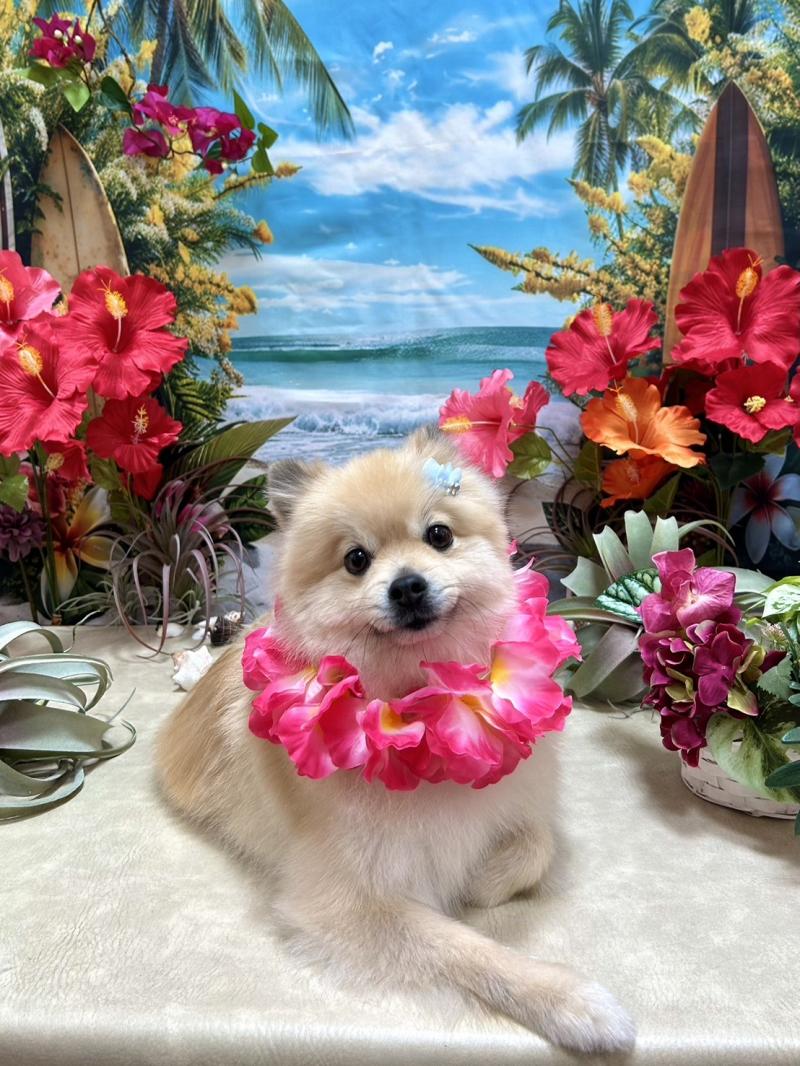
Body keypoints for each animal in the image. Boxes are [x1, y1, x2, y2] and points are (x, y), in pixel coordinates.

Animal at [156, 426, 635, 1053]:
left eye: (439, 535)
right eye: (356, 559)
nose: (407, 585)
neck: (421, 706)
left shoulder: (516, 799)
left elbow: (537, 844)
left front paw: (483, 880)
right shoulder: (347, 903)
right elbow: (466, 949)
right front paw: (571, 1001)